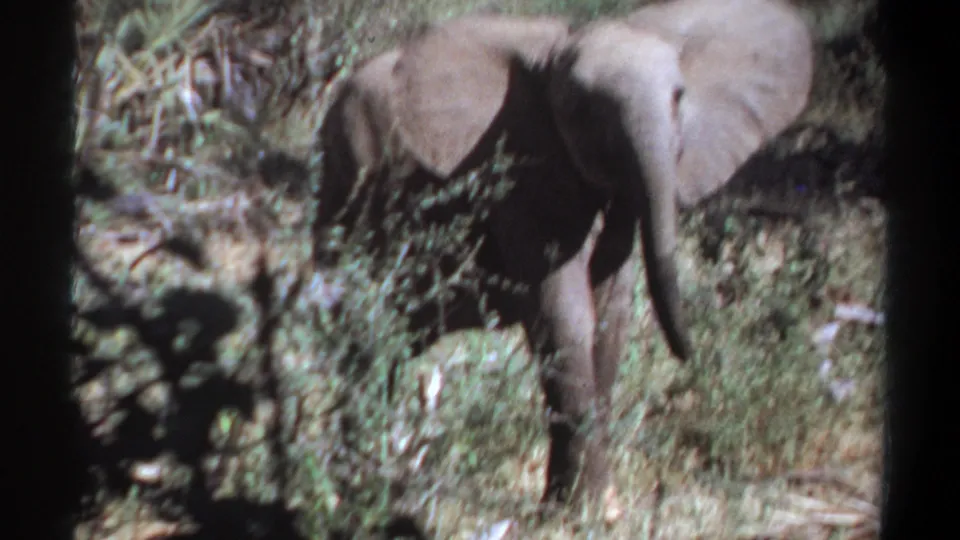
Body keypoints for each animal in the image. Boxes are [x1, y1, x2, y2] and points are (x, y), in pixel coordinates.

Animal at [314, 0, 813, 520]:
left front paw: (594, 507)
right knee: (362, 338)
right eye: (581, 111)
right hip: (344, 194)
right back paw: (354, 485)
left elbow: (610, 314)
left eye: (679, 97)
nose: (689, 357)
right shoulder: (517, 173)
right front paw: (584, 513)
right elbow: (565, 312)